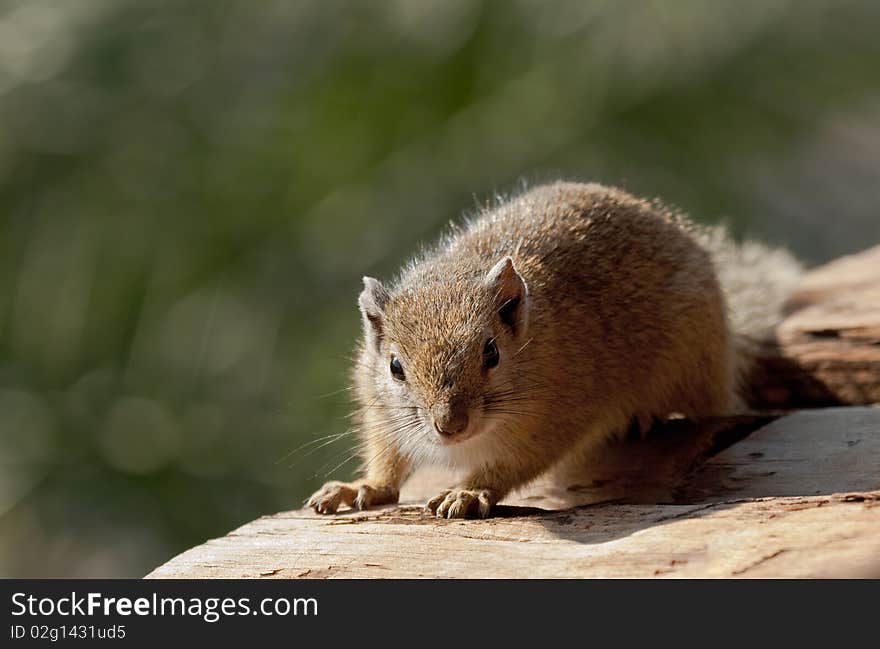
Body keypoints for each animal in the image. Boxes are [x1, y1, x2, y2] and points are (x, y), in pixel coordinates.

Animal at [306, 181, 800, 516]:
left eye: (491, 352)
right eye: (394, 366)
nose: (450, 426)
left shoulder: (557, 417)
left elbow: (516, 463)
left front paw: (469, 491)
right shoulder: (381, 412)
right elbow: (387, 459)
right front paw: (362, 487)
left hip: (697, 368)